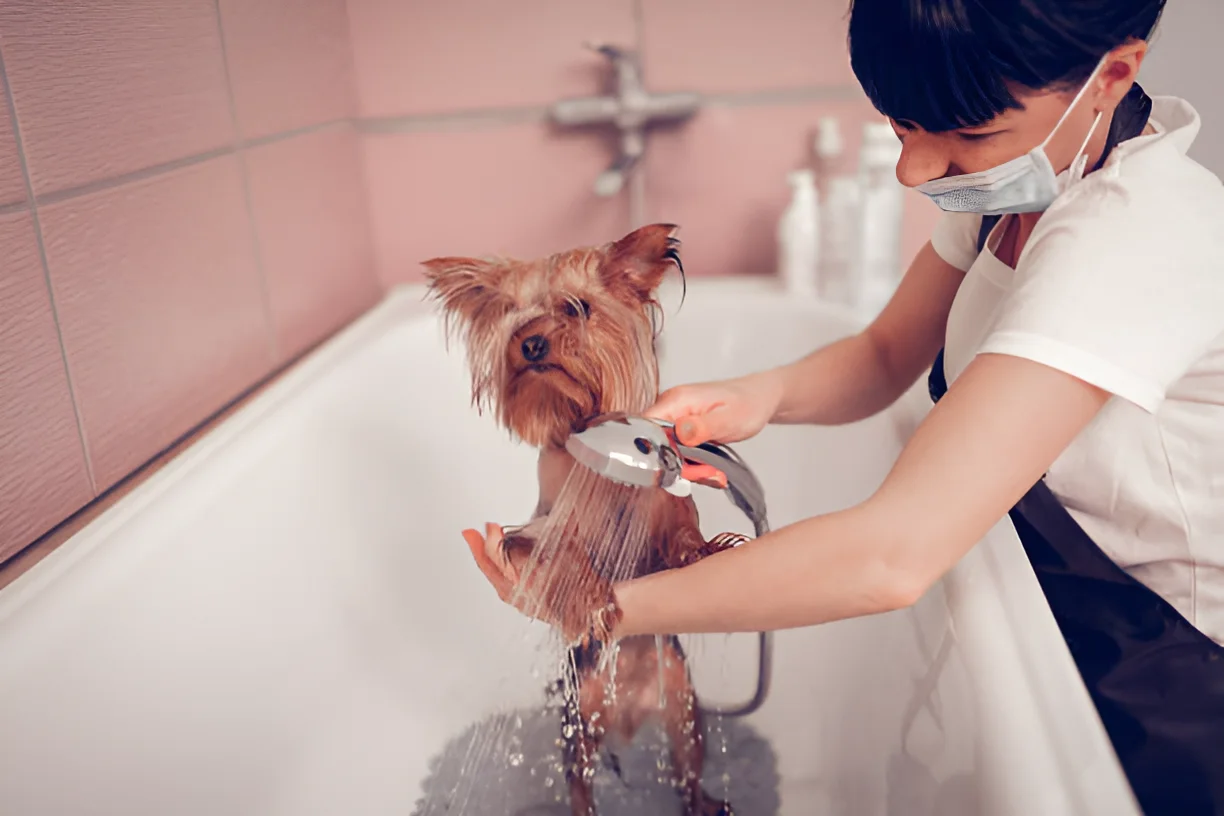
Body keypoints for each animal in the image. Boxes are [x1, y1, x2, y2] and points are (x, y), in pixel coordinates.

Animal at [421, 225, 744, 816]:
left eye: (577, 308)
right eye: (512, 315)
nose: (530, 343)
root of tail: (631, 707)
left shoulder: (664, 506)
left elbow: (682, 530)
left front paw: (701, 550)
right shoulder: (537, 529)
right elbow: (558, 554)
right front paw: (592, 599)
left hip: (684, 710)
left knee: (687, 771)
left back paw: (706, 804)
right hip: (580, 723)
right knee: (580, 783)